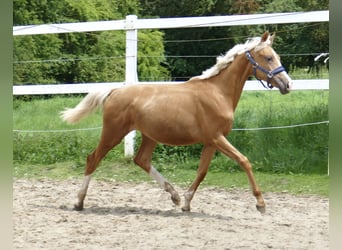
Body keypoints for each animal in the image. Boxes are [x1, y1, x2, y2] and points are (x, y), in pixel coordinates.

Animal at [60, 32, 292, 214]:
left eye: (277, 56)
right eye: (268, 57)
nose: (287, 84)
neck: (217, 93)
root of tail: (115, 90)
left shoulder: (211, 141)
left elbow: (202, 171)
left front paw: (186, 203)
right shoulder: (217, 137)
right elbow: (244, 161)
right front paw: (261, 204)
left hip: (149, 136)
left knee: (141, 160)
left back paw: (174, 195)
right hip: (113, 133)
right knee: (93, 159)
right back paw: (79, 202)